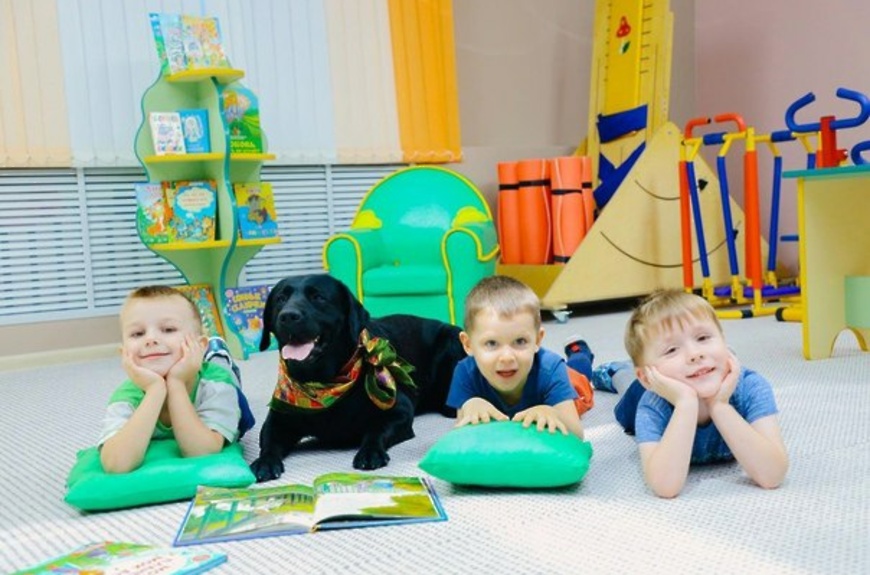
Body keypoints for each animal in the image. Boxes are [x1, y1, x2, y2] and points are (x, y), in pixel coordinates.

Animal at [250, 274, 465, 482]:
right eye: (281, 299)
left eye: (318, 297)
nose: (288, 316)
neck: (323, 383)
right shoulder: (277, 419)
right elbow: (268, 441)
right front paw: (264, 462)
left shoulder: (399, 411)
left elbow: (376, 430)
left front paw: (370, 452)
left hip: (451, 340)